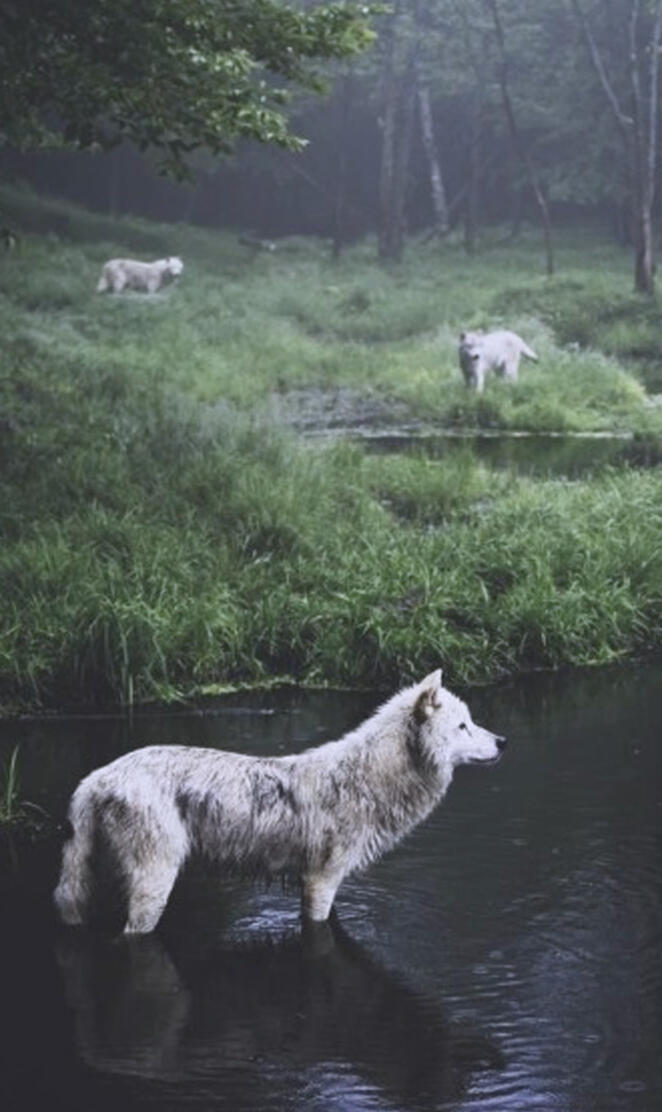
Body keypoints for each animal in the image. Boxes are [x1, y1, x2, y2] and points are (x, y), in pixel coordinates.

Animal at [54, 671, 506, 933]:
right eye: (463, 726)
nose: (503, 742)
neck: (369, 777)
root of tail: (96, 778)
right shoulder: (320, 882)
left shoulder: (322, 884)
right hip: (154, 887)